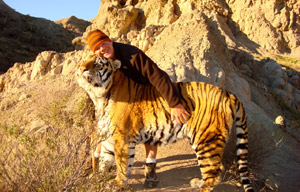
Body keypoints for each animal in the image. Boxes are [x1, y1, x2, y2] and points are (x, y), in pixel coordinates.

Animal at [76, 55, 254, 192]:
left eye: (97, 63)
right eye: (84, 59)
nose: (81, 68)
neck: (99, 96)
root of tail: (229, 94)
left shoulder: (122, 137)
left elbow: (122, 164)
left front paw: (118, 184)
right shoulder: (108, 138)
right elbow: (104, 161)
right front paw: (97, 178)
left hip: (206, 140)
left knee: (213, 173)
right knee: (216, 169)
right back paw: (197, 182)